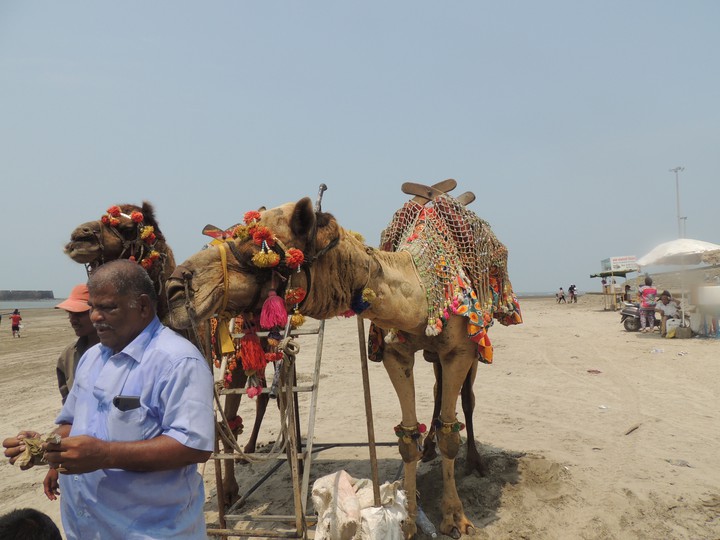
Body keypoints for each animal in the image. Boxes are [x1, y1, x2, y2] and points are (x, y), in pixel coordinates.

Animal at [165, 185, 522, 539]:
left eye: (257, 248)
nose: (174, 288)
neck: (419, 292)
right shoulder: (395, 352)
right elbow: (407, 437)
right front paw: (408, 520)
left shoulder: (459, 350)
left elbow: (451, 433)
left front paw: (455, 518)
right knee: (436, 391)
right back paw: (430, 448)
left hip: (476, 344)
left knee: (465, 399)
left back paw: (474, 462)